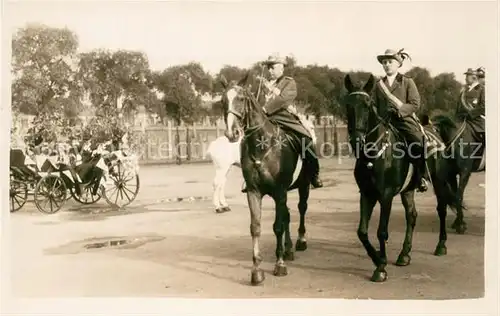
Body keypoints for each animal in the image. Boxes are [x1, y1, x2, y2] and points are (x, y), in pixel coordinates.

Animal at [222, 73, 312, 286]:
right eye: (222, 101)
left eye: (241, 99)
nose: (232, 133)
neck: (263, 145)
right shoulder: (254, 192)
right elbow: (256, 228)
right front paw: (256, 270)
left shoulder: (279, 191)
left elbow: (277, 226)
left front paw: (279, 265)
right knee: (287, 214)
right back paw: (288, 249)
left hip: (303, 186)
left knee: (301, 209)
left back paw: (300, 241)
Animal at [344, 74, 464, 282]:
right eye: (348, 105)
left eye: (367, 105)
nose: (357, 140)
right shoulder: (366, 194)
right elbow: (362, 232)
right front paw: (378, 259)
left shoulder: (386, 195)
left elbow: (382, 231)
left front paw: (380, 267)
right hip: (408, 190)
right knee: (412, 216)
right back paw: (404, 255)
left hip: (439, 182)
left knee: (441, 210)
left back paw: (441, 246)